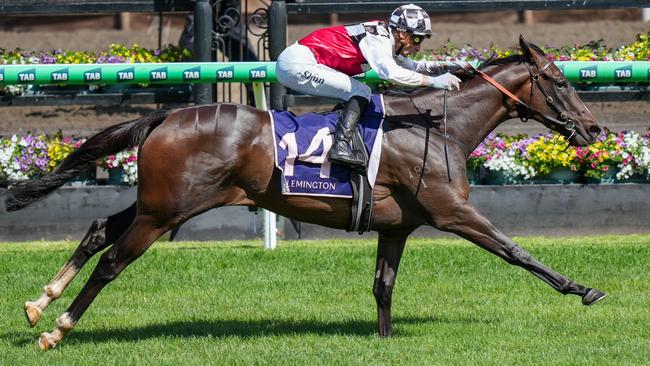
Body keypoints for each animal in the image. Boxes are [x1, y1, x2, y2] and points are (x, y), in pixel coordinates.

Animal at [3, 36, 604, 348]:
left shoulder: (398, 225)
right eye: (561, 82)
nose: (594, 128)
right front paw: (582, 289)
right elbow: (514, 250)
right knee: (112, 262)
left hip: (159, 202)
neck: (440, 126)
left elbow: (383, 286)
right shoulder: (451, 210)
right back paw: (57, 329)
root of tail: (165, 115)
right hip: (165, 212)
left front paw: (385, 341)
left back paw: (38, 305)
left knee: (98, 230)